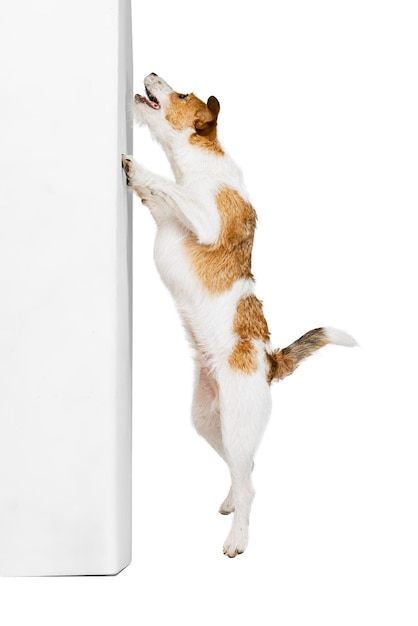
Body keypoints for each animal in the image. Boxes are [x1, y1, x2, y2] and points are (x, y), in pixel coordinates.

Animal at [121, 73, 356, 556]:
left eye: (182, 94)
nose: (151, 74)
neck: (201, 167)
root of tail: (270, 362)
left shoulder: (205, 217)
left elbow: (169, 188)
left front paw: (136, 165)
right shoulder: (166, 213)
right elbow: (159, 196)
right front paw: (139, 179)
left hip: (237, 423)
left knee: (250, 484)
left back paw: (238, 538)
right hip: (212, 423)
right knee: (242, 471)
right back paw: (232, 501)